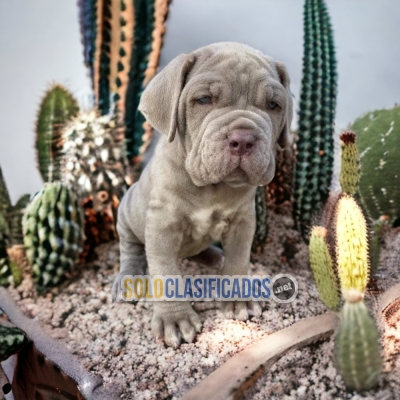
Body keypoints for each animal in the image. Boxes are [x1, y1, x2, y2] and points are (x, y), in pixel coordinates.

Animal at [112, 41, 294, 346]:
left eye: (273, 105)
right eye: (203, 99)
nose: (243, 139)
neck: (212, 187)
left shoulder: (243, 221)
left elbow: (238, 259)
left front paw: (238, 298)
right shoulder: (161, 226)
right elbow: (165, 272)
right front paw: (175, 319)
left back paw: (213, 256)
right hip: (127, 213)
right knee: (131, 248)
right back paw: (130, 277)